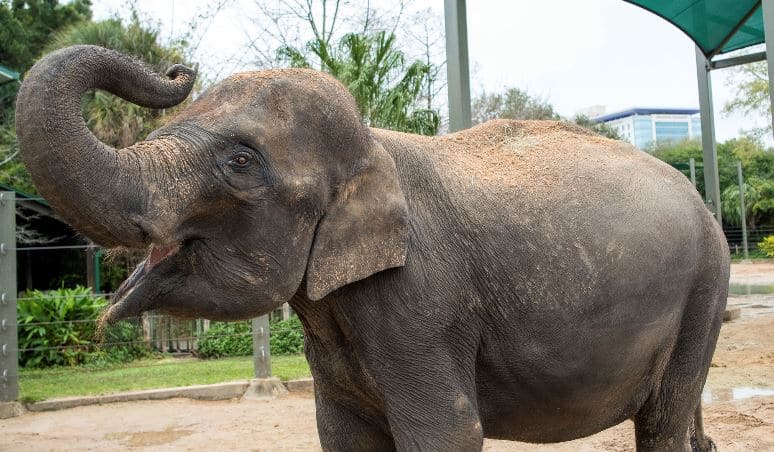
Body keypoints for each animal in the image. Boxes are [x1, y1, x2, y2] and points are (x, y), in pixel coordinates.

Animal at [18, 46, 732, 452]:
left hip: (706, 289)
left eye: (241, 161)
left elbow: (447, 432)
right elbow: (341, 435)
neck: (371, 144)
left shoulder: (422, 300)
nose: (177, 69)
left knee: (662, 423)